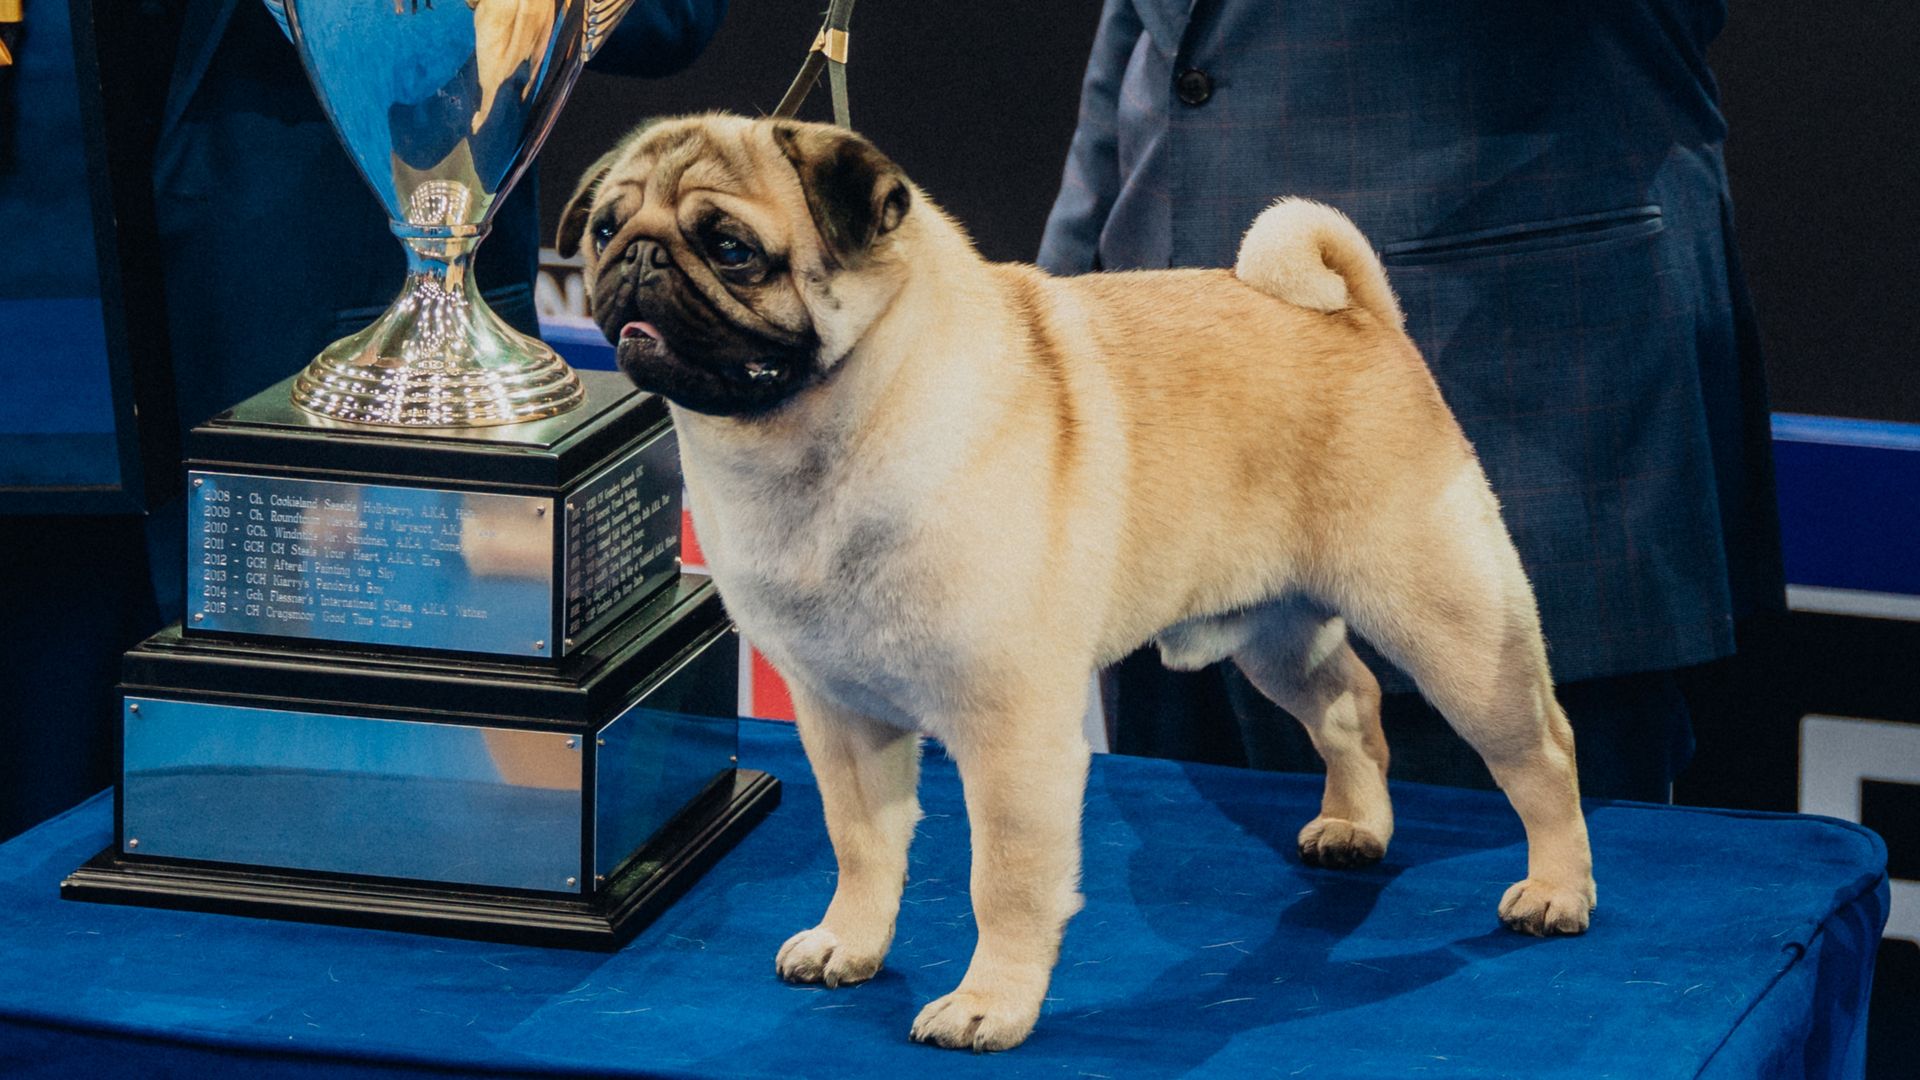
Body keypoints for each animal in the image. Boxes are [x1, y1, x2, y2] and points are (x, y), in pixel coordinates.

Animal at [560, 113, 1597, 1045]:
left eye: (732, 250)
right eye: (605, 229)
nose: (637, 258)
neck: (813, 443)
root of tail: (1357, 316)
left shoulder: (1012, 731)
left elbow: (1006, 880)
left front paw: (992, 1005)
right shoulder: (839, 715)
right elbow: (862, 845)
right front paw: (850, 942)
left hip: (1452, 625)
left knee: (1539, 749)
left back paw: (1556, 888)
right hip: (1274, 632)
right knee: (1351, 705)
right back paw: (1356, 824)